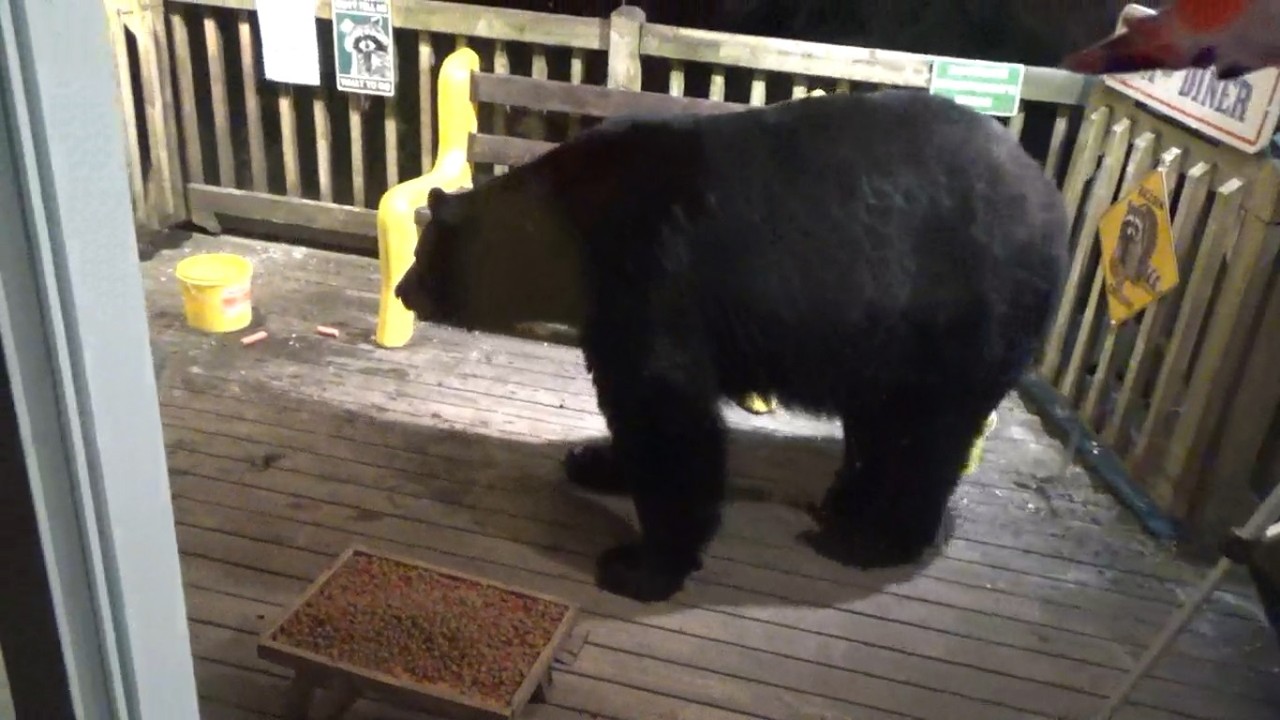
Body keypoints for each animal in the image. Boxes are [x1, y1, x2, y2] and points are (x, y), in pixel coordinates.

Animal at [394, 87, 1070, 603]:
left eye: (425, 255)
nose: (402, 289)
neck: (566, 234)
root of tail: (1053, 201)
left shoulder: (653, 273)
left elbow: (665, 414)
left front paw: (639, 565)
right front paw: (595, 460)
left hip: (957, 317)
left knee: (925, 437)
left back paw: (868, 541)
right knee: (881, 426)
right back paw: (845, 502)